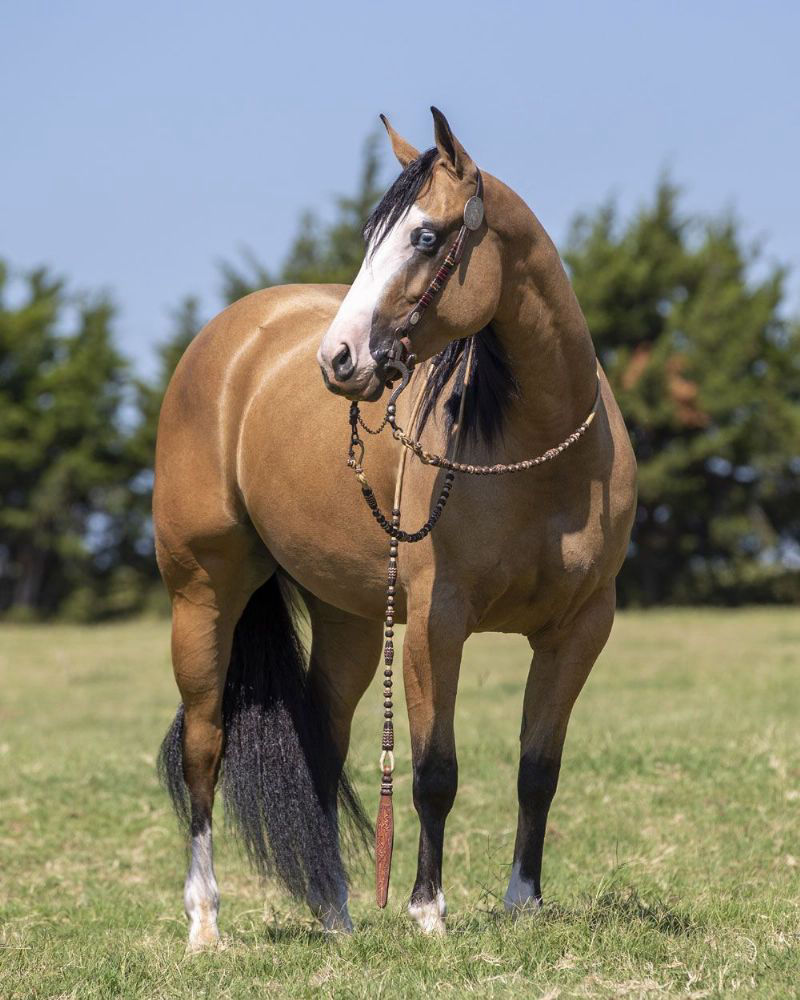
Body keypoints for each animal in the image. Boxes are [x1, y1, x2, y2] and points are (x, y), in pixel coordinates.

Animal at [154, 107, 636, 950]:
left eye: (426, 236)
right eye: (372, 235)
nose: (339, 358)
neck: (542, 457)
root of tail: (230, 339)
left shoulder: (581, 628)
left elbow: (538, 769)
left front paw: (523, 901)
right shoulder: (435, 626)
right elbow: (435, 770)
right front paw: (426, 910)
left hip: (348, 618)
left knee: (322, 743)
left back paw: (337, 913)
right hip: (203, 596)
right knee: (205, 747)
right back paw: (206, 924)